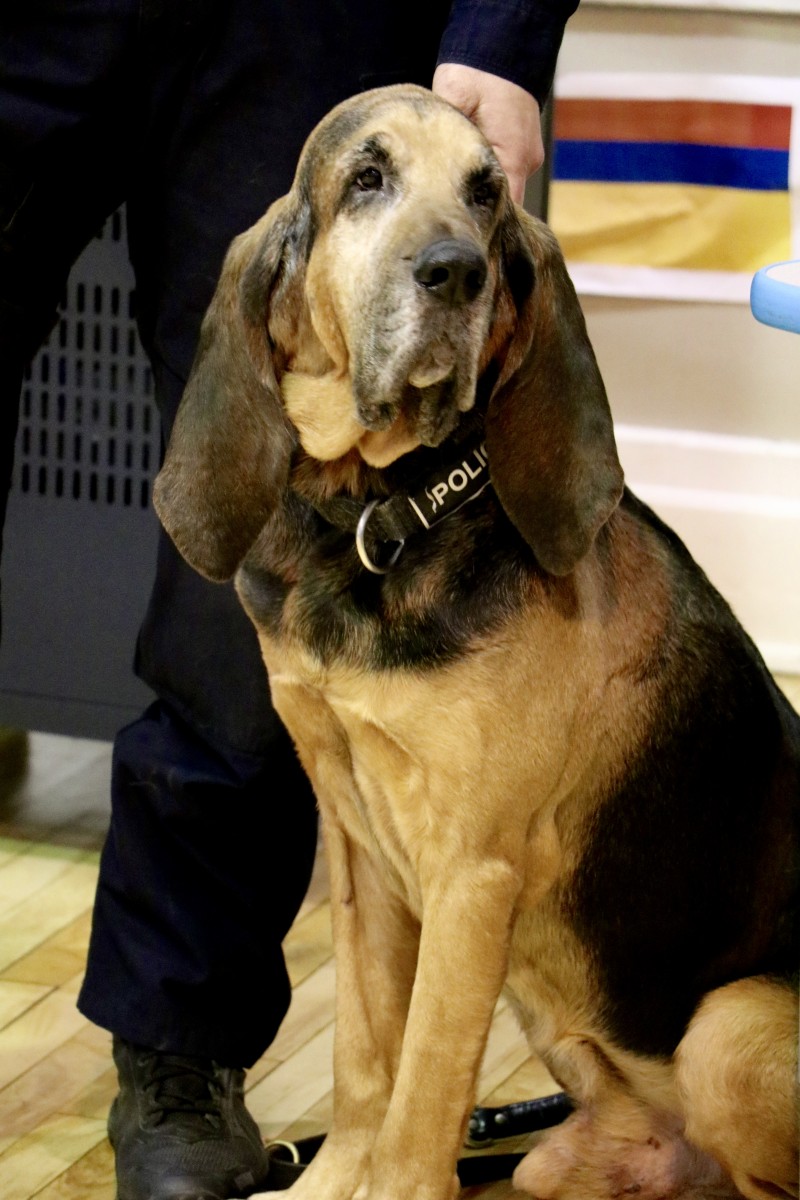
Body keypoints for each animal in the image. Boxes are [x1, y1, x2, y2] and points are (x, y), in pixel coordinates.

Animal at [153, 87, 796, 1200]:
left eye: (486, 191)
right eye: (365, 179)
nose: (455, 271)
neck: (383, 517)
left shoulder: (470, 874)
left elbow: (419, 1101)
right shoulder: (359, 849)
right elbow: (366, 1066)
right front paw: (327, 1183)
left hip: (728, 1025)